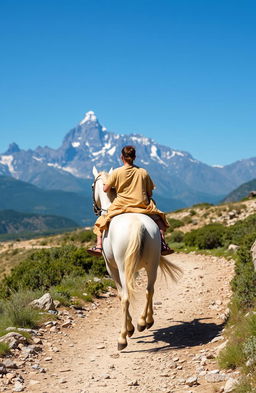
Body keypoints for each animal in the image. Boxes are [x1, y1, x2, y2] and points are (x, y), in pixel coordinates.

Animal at [93, 165, 181, 350]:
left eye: (91, 186)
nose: (95, 209)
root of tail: (138, 225)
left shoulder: (111, 268)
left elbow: (121, 296)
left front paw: (129, 329)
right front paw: (136, 325)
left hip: (123, 268)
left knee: (127, 297)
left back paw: (123, 338)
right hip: (153, 263)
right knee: (150, 289)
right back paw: (145, 321)